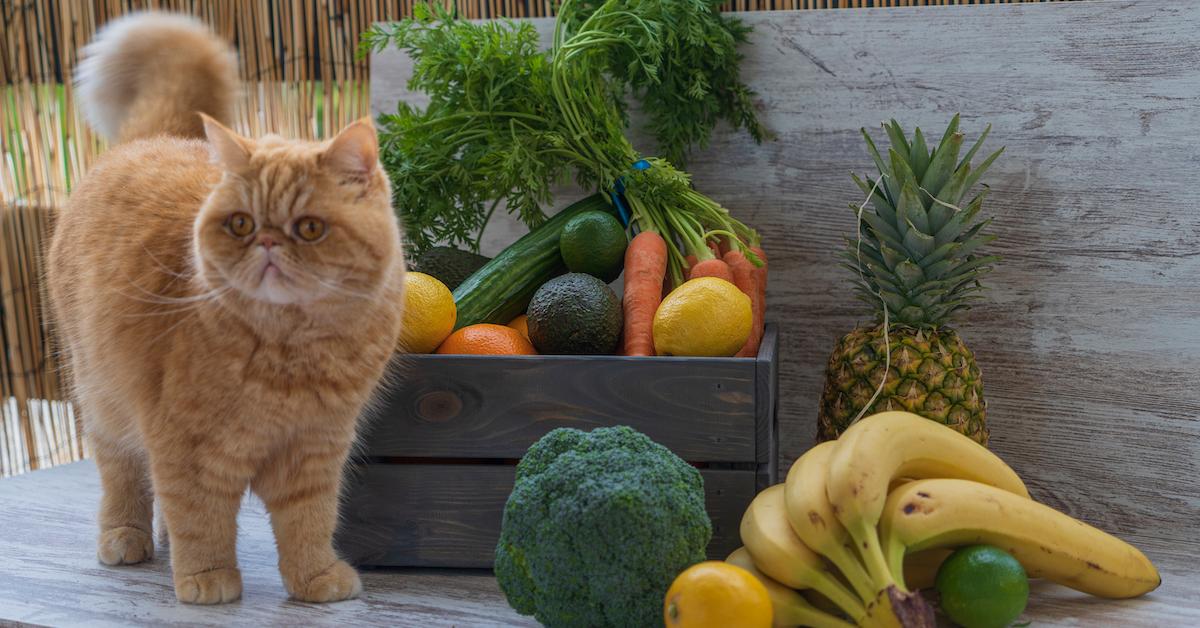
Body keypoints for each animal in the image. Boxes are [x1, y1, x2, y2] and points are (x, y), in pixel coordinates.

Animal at [45, 13, 408, 605]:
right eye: (241, 224)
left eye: (310, 228)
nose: (266, 243)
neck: (293, 351)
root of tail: (156, 137)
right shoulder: (187, 448)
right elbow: (202, 520)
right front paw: (206, 579)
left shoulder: (315, 450)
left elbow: (309, 523)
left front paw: (315, 579)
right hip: (101, 397)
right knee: (123, 475)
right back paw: (126, 537)